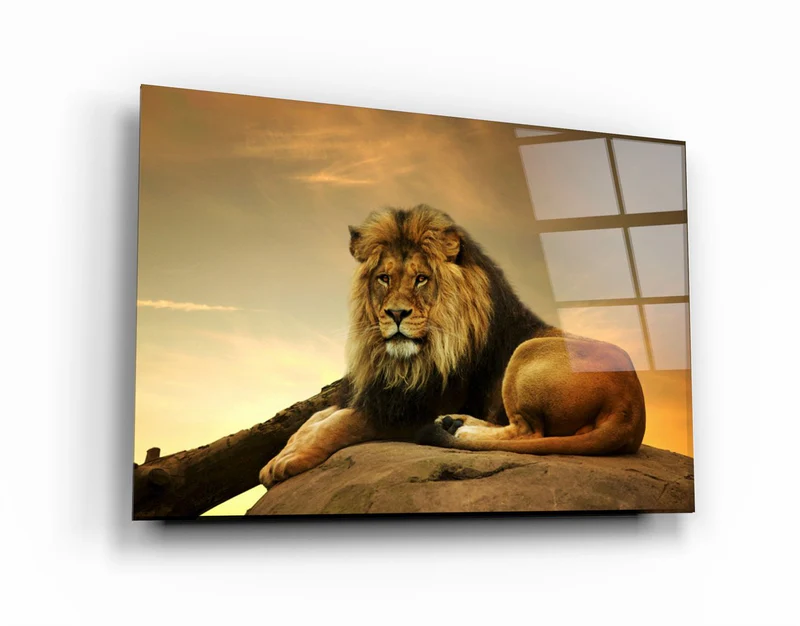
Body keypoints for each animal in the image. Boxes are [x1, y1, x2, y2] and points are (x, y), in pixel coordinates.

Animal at [259, 205, 646, 488]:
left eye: (421, 279)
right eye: (383, 278)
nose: (396, 314)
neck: (405, 360)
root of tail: (631, 410)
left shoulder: (409, 409)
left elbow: (340, 423)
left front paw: (290, 460)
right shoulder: (377, 392)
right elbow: (316, 419)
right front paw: (281, 454)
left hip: (527, 352)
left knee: (528, 432)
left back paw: (457, 427)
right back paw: (454, 423)